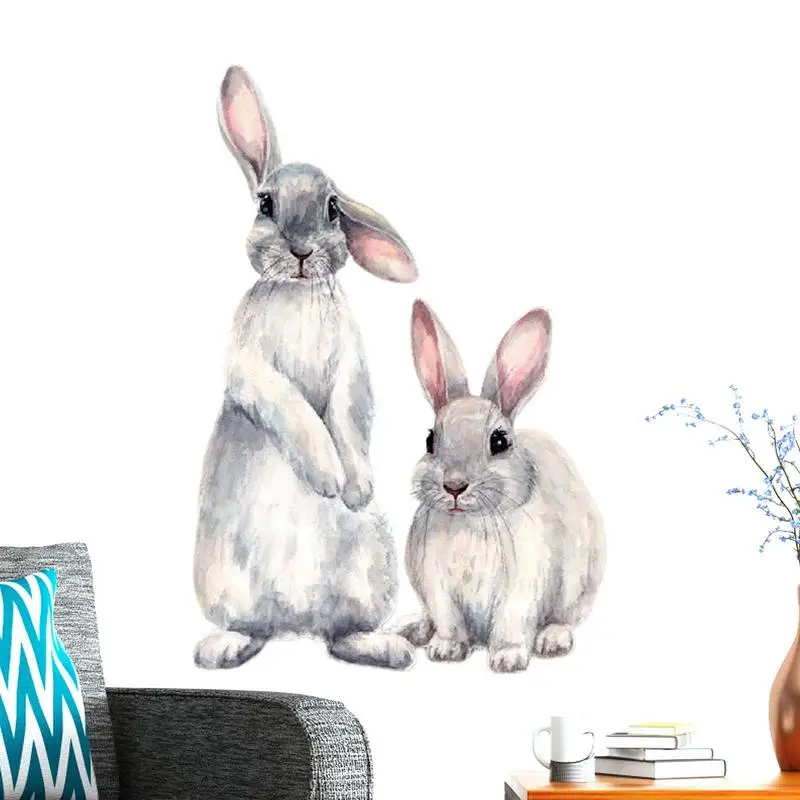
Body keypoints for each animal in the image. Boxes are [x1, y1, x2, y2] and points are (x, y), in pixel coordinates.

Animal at [193, 66, 418, 671]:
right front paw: (327, 479)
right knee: (254, 627)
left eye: (333, 208)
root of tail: (296, 624)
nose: (299, 251)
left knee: (340, 637)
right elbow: (293, 409)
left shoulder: (351, 369)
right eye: (265, 205)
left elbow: (346, 413)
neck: (297, 293)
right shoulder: (252, 368)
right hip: (225, 582)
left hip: (371, 576)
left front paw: (354, 489)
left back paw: (387, 648)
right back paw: (223, 650)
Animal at [396, 300, 606, 673]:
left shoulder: (524, 585)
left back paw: (553, 639)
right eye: (430, 440)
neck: (470, 522)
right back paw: (414, 629)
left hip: (581, 584)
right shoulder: (436, 585)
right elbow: (448, 620)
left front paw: (508, 659)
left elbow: (512, 621)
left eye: (499, 441)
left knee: (566, 618)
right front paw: (446, 650)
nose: (454, 486)